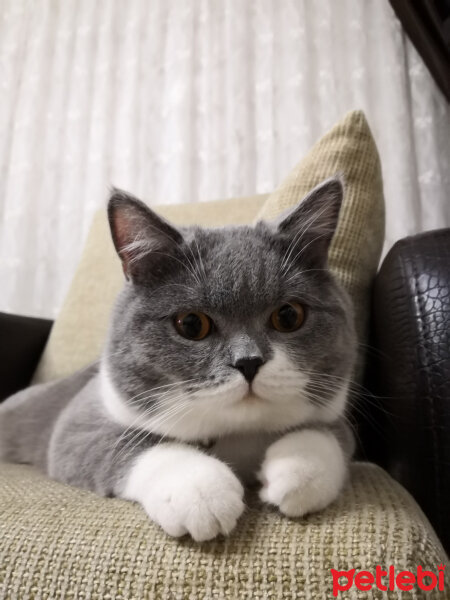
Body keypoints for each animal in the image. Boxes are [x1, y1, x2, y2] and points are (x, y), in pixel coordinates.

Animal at [1, 176, 356, 540]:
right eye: (191, 324)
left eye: (288, 316)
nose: (249, 362)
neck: (236, 437)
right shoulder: (79, 422)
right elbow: (131, 443)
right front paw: (201, 493)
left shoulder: (334, 416)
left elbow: (332, 435)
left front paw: (296, 472)